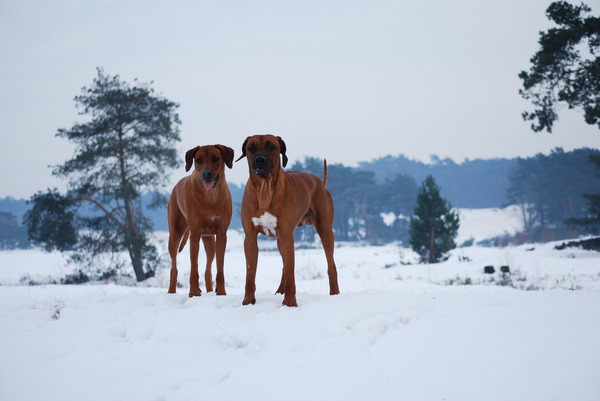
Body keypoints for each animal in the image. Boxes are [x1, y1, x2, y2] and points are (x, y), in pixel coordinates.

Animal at [169, 144, 237, 296]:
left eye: (216, 158)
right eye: (198, 160)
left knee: (208, 269)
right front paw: (194, 293)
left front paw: (221, 292)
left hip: (209, 239)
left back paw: (211, 290)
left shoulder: (222, 233)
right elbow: (194, 267)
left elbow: (220, 267)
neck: (210, 196)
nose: (206, 174)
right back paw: (171, 291)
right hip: (175, 234)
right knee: (174, 267)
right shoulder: (195, 234)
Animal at [236, 133, 338, 304]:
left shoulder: (286, 235)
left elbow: (291, 273)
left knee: (331, 265)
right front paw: (248, 301)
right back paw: (279, 291)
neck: (265, 189)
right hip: (281, 240)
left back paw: (335, 294)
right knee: (284, 264)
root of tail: (319, 182)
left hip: (325, 230)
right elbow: (250, 273)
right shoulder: (250, 237)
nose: (259, 160)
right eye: (251, 148)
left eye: (272, 147)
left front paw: (290, 303)